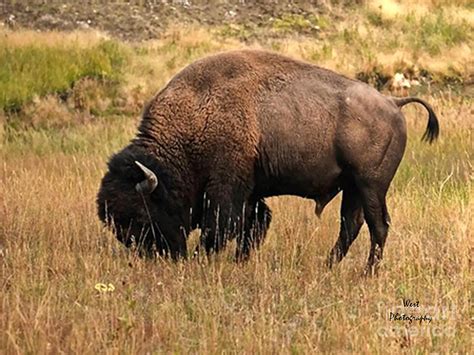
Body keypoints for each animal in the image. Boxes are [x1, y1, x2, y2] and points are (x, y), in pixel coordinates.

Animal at [97, 50, 440, 272]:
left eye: (141, 215)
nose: (150, 256)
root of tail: (393, 102)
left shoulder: (226, 189)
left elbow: (222, 228)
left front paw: (207, 258)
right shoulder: (249, 192)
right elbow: (254, 223)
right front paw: (239, 260)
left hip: (371, 185)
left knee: (377, 226)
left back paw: (367, 273)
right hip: (353, 187)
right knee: (351, 225)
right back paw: (327, 267)